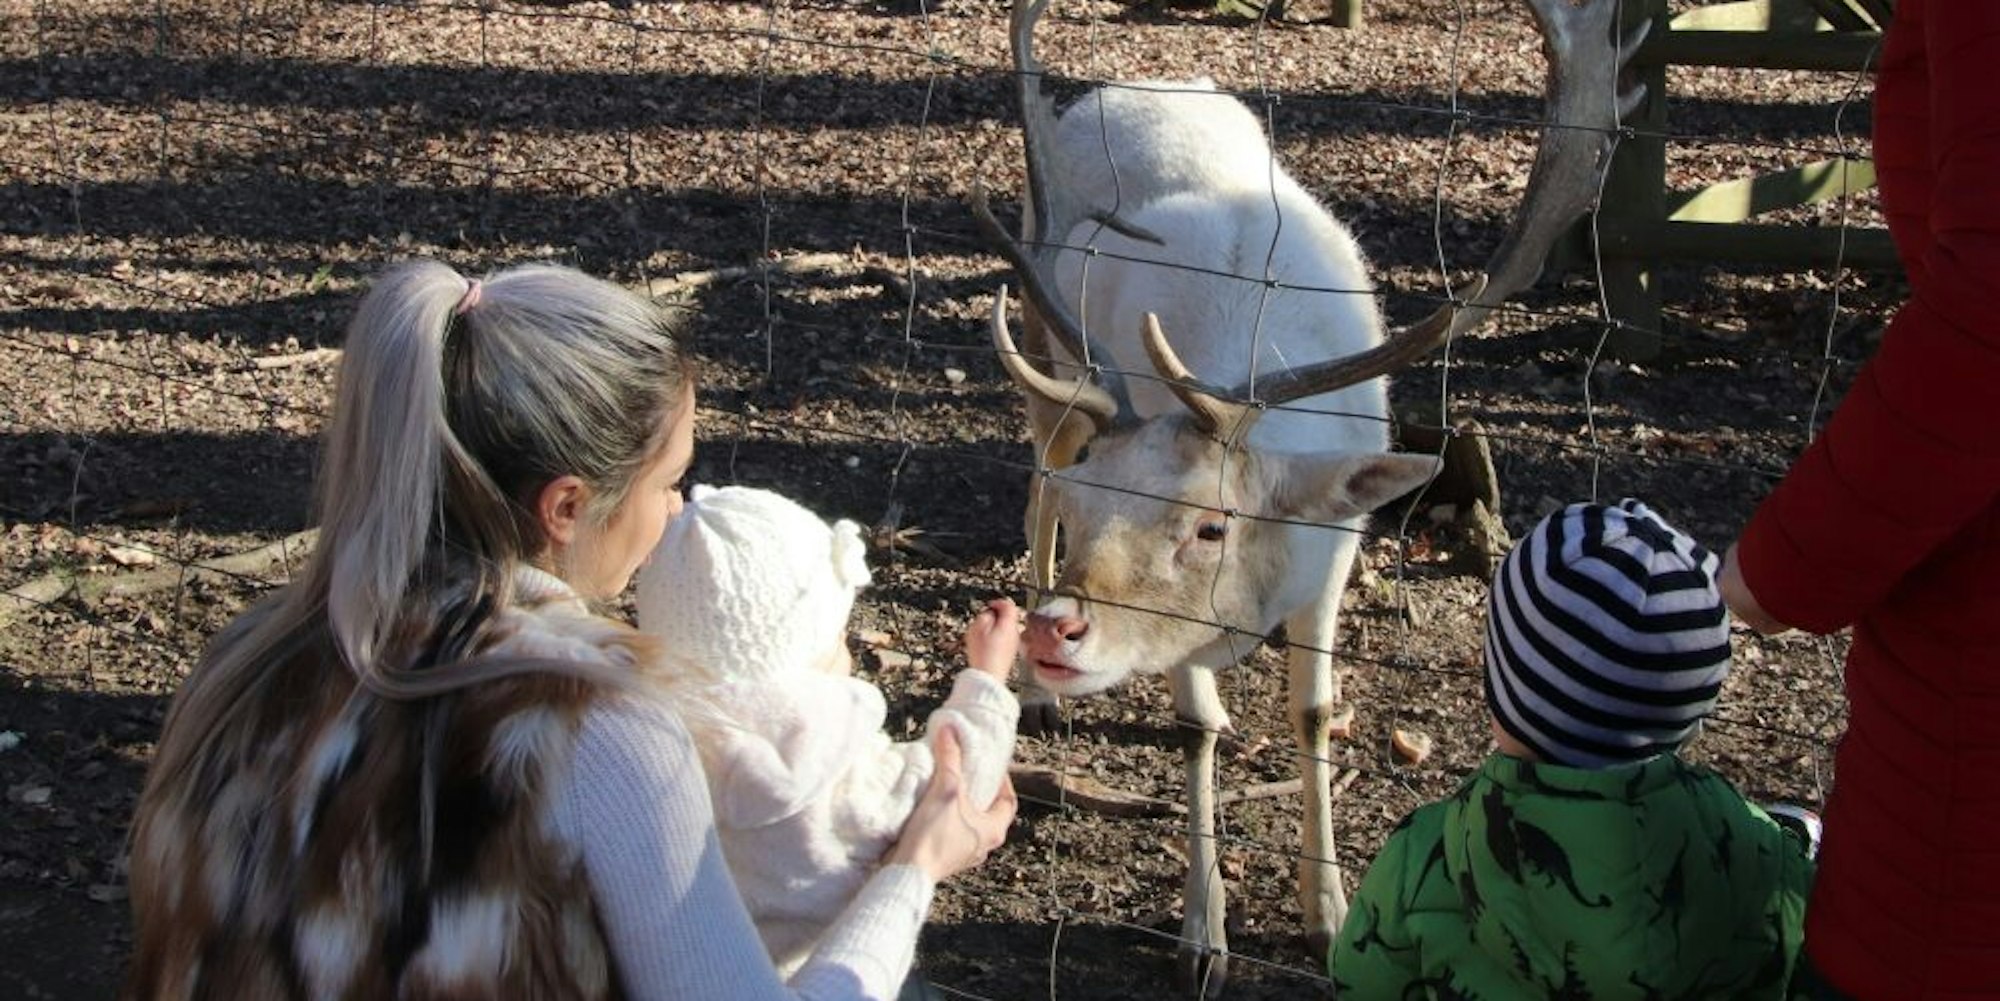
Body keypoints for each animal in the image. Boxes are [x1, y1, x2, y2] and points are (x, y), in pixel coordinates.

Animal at [969, 0, 1646, 996]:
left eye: (1211, 525)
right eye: (1100, 509)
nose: (1058, 631)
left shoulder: (1338, 546)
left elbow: (1315, 711)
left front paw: (1327, 915)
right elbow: (1196, 728)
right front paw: (1203, 934)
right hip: (1052, 367)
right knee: (1034, 482)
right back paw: (1040, 692)